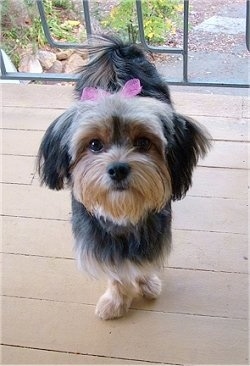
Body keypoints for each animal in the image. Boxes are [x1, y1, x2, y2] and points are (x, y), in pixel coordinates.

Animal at [37, 35, 211, 320]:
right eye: (95, 145)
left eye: (143, 142)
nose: (118, 169)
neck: (123, 212)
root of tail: (119, 53)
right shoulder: (100, 243)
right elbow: (116, 274)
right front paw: (116, 301)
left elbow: (142, 263)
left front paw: (146, 284)